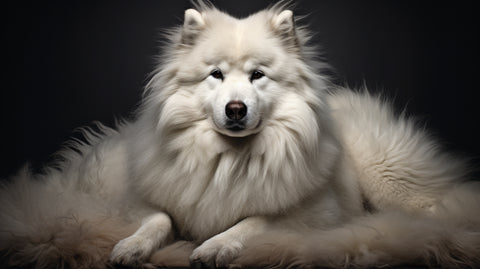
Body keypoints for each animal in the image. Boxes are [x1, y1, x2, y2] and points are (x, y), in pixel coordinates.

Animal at [0, 2, 480, 268]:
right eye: (215, 74)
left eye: (257, 75)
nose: (236, 108)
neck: (227, 160)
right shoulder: (148, 201)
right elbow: (158, 220)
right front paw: (131, 246)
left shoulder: (315, 216)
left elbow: (254, 221)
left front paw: (216, 246)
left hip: (389, 178)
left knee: (441, 206)